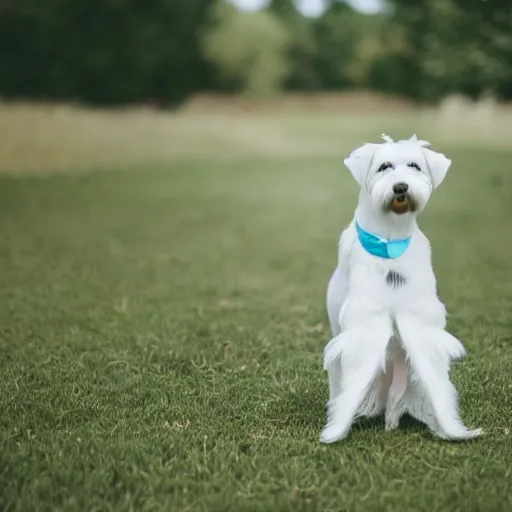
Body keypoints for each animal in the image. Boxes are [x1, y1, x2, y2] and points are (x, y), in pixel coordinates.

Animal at [322, 134, 482, 442]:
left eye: (414, 166)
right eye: (384, 166)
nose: (401, 187)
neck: (389, 241)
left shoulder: (418, 317)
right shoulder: (365, 319)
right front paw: (336, 428)